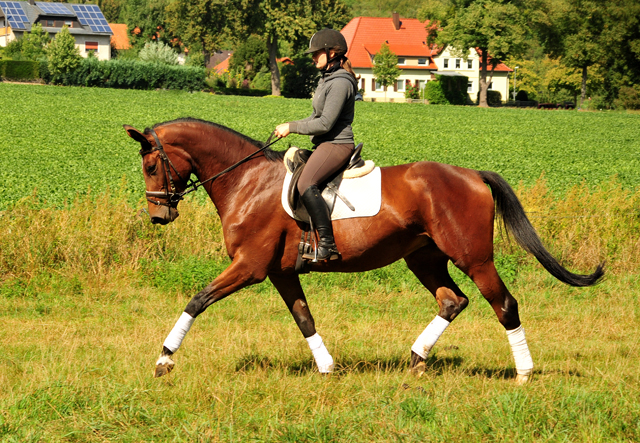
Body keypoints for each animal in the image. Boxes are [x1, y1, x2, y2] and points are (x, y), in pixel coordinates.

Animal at [125, 118, 604, 386]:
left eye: (150, 165)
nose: (159, 217)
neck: (247, 181)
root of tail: (472, 174)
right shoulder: (281, 273)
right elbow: (304, 319)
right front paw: (327, 368)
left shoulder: (249, 267)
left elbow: (197, 300)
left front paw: (164, 360)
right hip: (424, 257)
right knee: (453, 301)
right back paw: (416, 360)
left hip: (474, 258)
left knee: (504, 304)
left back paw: (523, 374)